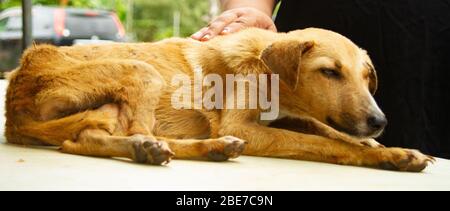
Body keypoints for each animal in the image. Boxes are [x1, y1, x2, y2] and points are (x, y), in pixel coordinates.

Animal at [6, 27, 436, 171]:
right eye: (330, 72)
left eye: (367, 77)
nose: (380, 122)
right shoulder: (247, 126)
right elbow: (326, 143)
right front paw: (381, 154)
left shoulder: (285, 118)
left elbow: (329, 132)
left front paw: (392, 149)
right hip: (142, 72)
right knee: (132, 133)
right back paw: (157, 148)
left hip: (107, 106)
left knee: (84, 139)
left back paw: (208, 148)